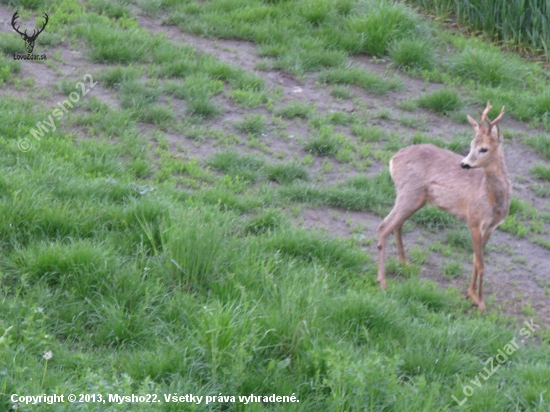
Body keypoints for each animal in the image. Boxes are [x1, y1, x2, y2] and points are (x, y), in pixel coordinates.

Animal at [380, 101, 512, 310]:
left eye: (484, 148)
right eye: (471, 145)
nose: (464, 164)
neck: (492, 199)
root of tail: (393, 159)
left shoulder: (491, 226)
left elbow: (476, 259)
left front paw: (470, 295)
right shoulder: (474, 220)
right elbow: (480, 263)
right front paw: (480, 303)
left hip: (416, 198)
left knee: (396, 225)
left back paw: (406, 265)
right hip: (409, 192)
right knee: (384, 226)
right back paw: (383, 283)